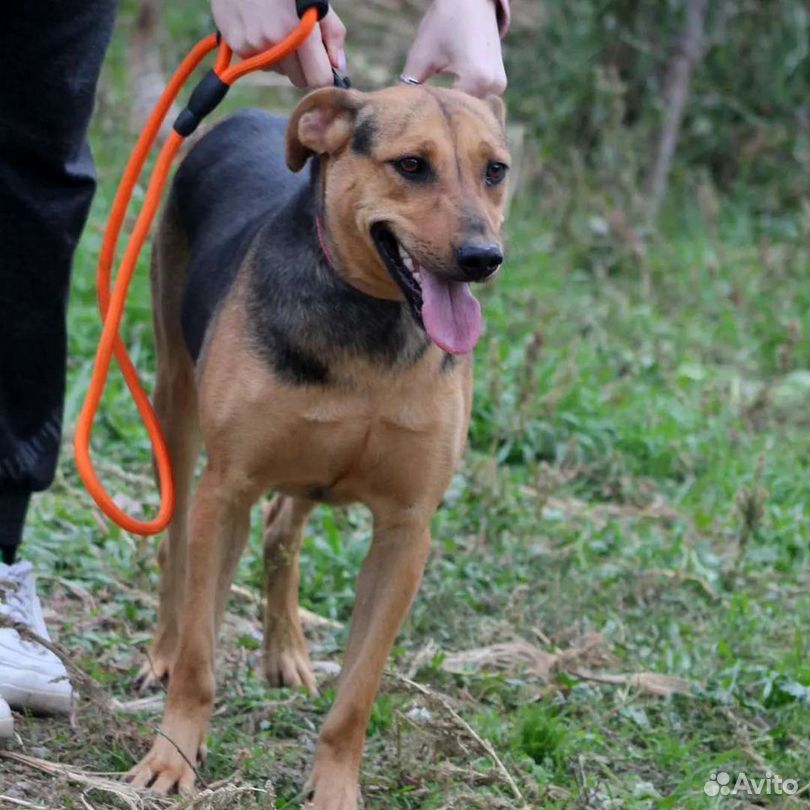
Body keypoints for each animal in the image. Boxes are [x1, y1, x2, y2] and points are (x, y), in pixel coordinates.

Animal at [129, 80, 508, 800]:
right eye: (411, 165)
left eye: (495, 171)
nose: (483, 258)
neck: (371, 322)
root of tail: (249, 113)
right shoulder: (228, 490)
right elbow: (199, 658)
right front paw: (172, 757)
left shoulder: (406, 533)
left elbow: (356, 695)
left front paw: (335, 788)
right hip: (176, 405)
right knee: (178, 552)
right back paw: (161, 649)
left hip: (309, 470)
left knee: (281, 531)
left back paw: (286, 651)